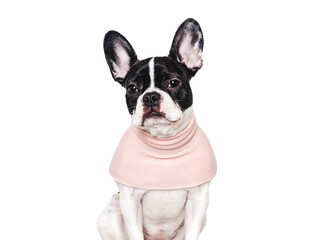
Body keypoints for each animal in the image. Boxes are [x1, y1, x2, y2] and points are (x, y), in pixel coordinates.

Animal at [97, 18, 218, 240]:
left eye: (174, 82)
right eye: (132, 88)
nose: (151, 96)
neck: (164, 141)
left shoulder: (198, 200)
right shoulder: (129, 201)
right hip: (111, 211)